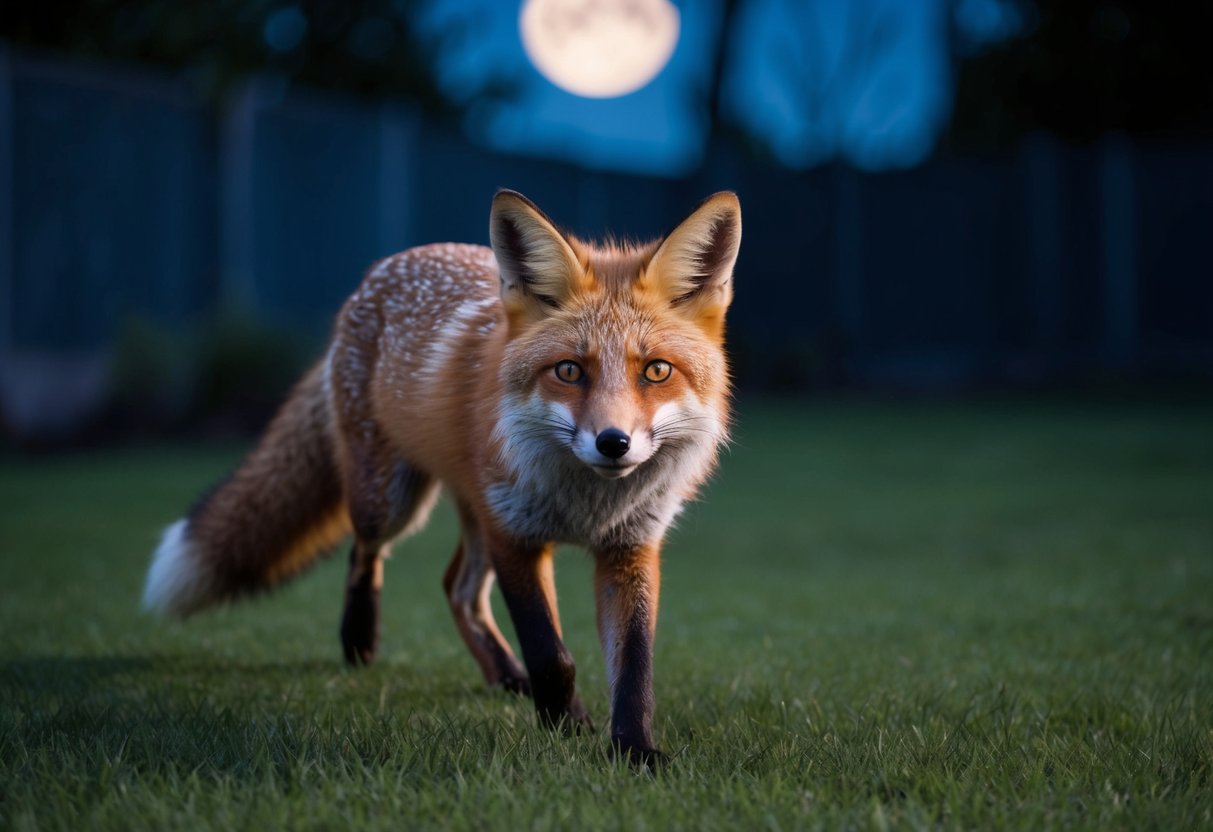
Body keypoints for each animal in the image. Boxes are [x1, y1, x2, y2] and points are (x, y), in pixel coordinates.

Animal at [142, 189, 741, 766]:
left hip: (473, 514)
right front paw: (566, 725)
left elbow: (635, 669)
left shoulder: (629, 547)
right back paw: (360, 638)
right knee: (366, 551)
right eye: (569, 370)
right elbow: (552, 654)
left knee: (457, 588)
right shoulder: (515, 536)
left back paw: (506, 676)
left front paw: (633, 750)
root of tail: (381, 270)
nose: (613, 442)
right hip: (391, 500)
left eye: (656, 371)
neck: (588, 506)